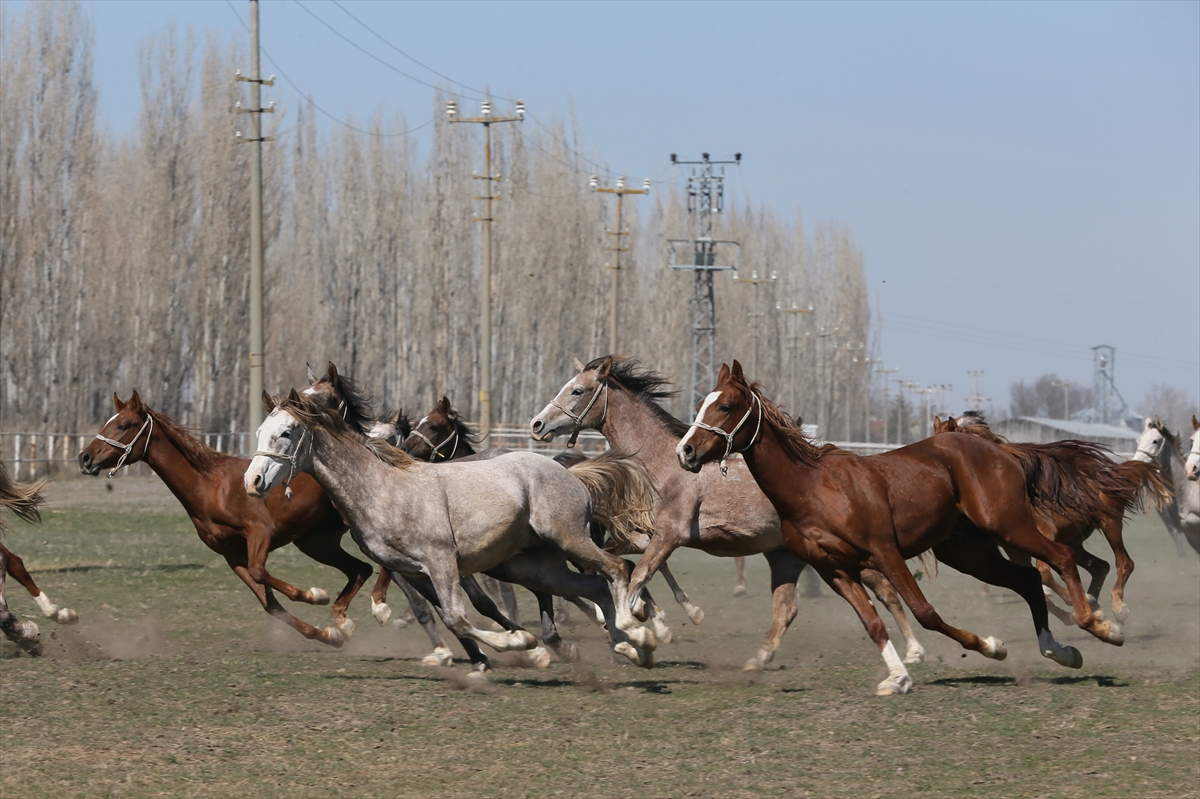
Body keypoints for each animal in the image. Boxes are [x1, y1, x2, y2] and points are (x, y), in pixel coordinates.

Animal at [78, 391, 372, 647]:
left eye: (123, 425)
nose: (85, 457)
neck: (212, 488)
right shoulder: (232, 555)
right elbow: (270, 605)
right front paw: (329, 635)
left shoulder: (260, 533)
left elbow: (261, 573)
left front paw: (316, 595)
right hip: (316, 542)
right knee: (362, 569)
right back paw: (344, 621)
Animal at [681, 359, 1118, 691]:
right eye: (701, 403)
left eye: (726, 406)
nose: (685, 450)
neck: (813, 490)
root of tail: (1001, 451)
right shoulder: (834, 570)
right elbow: (873, 623)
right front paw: (898, 677)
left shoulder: (885, 554)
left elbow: (924, 613)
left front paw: (991, 646)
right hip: (967, 551)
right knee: (1027, 580)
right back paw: (1060, 651)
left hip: (1008, 525)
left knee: (1061, 558)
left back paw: (1100, 625)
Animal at [931, 410, 1166, 623]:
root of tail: (1112, 472)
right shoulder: (1016, 549)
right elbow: (1038, 579)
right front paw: (1076, 605)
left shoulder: (1045, 534)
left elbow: (1043, 574)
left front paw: (1074, 602)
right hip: (1074, 541)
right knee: (1101, 566)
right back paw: (1092, 602)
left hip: (1110, 523)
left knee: (1124, 563)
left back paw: (1118, 607)